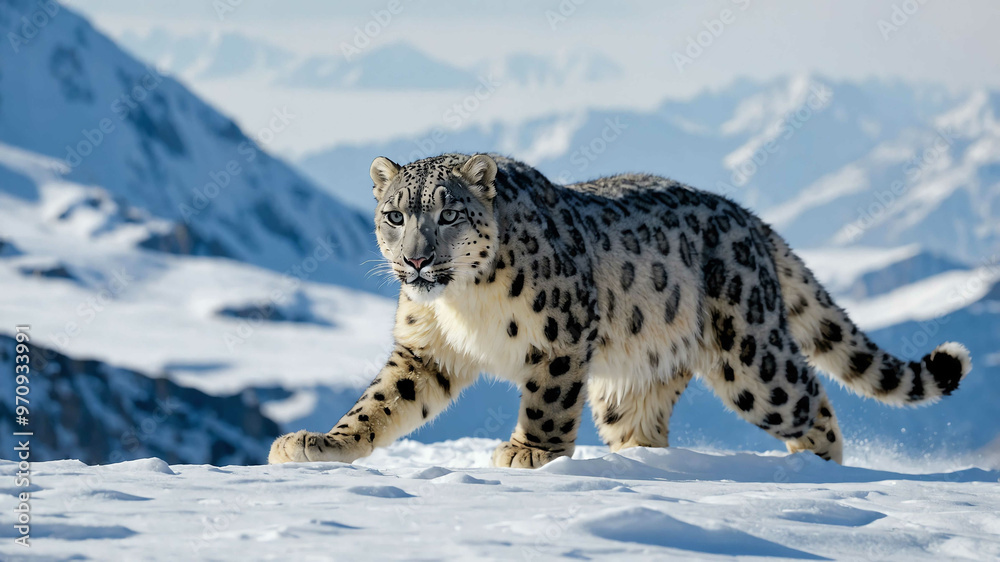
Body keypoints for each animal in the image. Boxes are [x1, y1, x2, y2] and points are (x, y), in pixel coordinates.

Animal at [268, 153, 972, 468]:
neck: (461, 304)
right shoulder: (423, 350)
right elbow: (382, 402)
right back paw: (644, 461)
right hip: (632, 382)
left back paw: (812, 470)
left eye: (448, 213)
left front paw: (529, 452)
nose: (416, 262)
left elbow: (547, 400)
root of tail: (747, 217)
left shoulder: (560, 334)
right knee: (643, 421)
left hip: (752, 359)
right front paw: (319, 442)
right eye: (395, 215)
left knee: (810, 397)